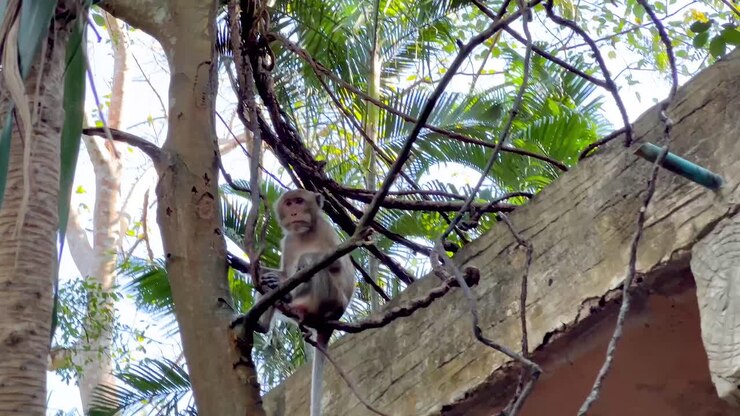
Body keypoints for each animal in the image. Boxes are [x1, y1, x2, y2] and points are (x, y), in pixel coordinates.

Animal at [256, 188, 355, 416]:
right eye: (289, 203)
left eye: (300, 201)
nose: (294, 212)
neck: (305, 233)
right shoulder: (289, 240)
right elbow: (283, 273)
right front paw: (273, 279)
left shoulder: (326, 229)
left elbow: (336, 262)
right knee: (268, 279)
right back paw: (264, 320)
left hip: (332, 301)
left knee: (315, 267)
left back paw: (287, 293)